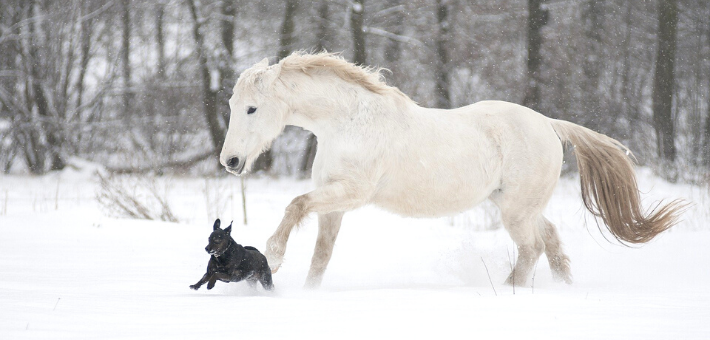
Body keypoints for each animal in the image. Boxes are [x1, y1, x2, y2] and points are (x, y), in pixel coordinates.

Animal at [222, 51, 688, 288]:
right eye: (231, 105)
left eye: (252, 108)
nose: (230, 162)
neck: (349, 123)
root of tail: (549, 125)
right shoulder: (334, 206)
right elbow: (320, 256)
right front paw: (306, 293)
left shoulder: (353, 193)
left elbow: (295, 205)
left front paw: (273, 258)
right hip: (522, 207)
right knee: (551, 241)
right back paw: (560, 288)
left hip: (515, 212)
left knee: (532, 248)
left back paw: (508, 289)